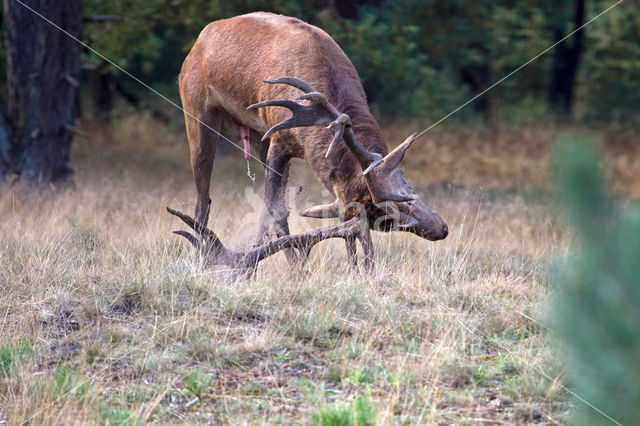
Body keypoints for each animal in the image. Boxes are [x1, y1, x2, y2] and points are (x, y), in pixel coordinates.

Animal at [170, 12, 450, 272]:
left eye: (385, 224)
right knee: (203, 198)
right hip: (196, 110)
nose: (442, 229)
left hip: (257, 136)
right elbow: (274, 210)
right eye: (407, 196)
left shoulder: (273, 138)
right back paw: (203, 258)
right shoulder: (279, 140)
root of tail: (200, 40)